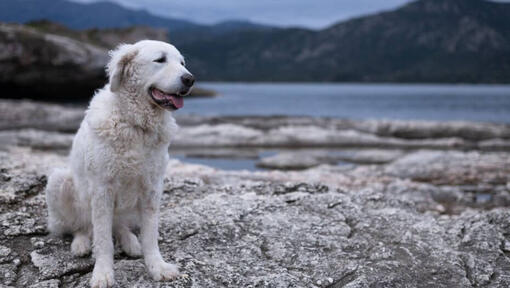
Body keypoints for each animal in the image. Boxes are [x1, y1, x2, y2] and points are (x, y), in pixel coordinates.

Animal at [44, 39, 193, 286]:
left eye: (182, 63)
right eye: (160, 60)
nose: (190, 79)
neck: (137, 126)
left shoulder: (152, 188)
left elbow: (150, 236)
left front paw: (157, 267)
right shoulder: (102, 189)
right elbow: (104, 240)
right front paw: (103, 273)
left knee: (119, 225)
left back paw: (131, 242)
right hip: (59, 181)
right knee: (80, 226)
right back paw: (81, 243)